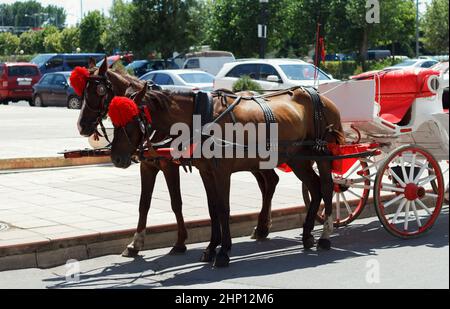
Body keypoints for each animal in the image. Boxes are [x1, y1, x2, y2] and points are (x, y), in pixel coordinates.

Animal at [77, 59, 280, 255]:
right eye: (83, 92)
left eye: (99, 91)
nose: (82, 126)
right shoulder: (148, 166)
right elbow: (144, 203)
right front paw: (136, 243)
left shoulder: (169, 166)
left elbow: (176, 202)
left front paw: (180, 241)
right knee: (268, 182)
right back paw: (263, 226)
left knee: (269, 182)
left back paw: (262, 226)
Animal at [108, 82, 344, 268]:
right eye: (114, 120)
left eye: (130, 120)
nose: (116, 158)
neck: (202, 118)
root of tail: (321, 97)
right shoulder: (206, 172)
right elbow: (212, 209)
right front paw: (211, 248)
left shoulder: (221, 171)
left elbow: (223, 209)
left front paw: (222, 252)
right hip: (298, 159)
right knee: (313, 188)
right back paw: (307, 235)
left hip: (322, 154)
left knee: (326, 187)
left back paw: (324, 235)